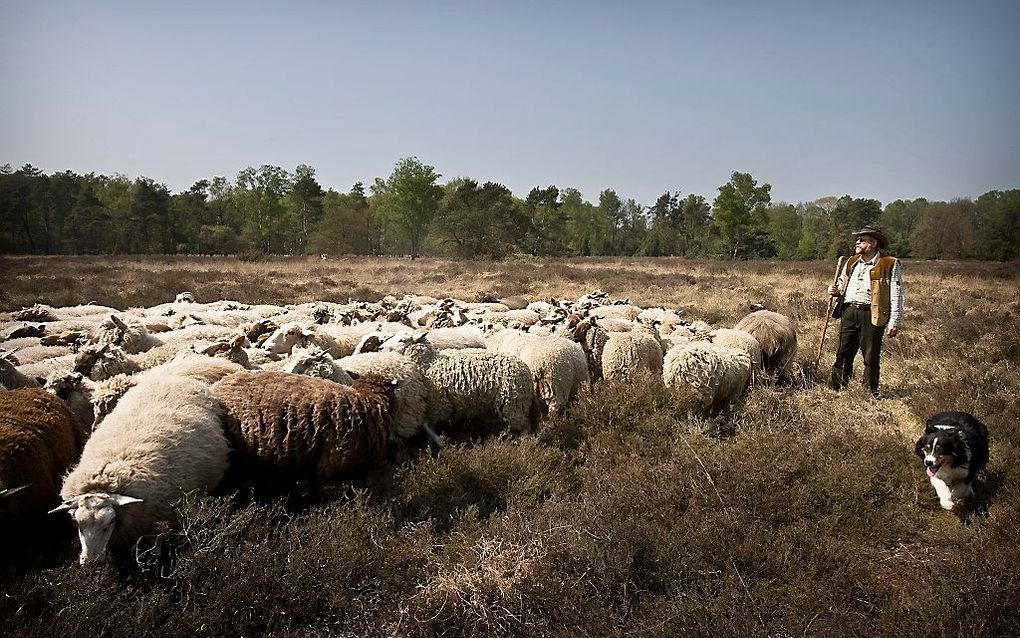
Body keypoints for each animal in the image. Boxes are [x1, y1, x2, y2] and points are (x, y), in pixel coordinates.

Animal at [52, 373, 231, 563]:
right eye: (79, 526)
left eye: (109, 523)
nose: (90, 561)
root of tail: (172, 377)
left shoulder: (157, 525)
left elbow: (155, 554)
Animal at [381, 330, 542, 434]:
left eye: (402, 340)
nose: (381, 347)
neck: (429, 363)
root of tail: (526, 371)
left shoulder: (438, 404)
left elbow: (430, 426)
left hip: (513, 402)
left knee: (524, 428)